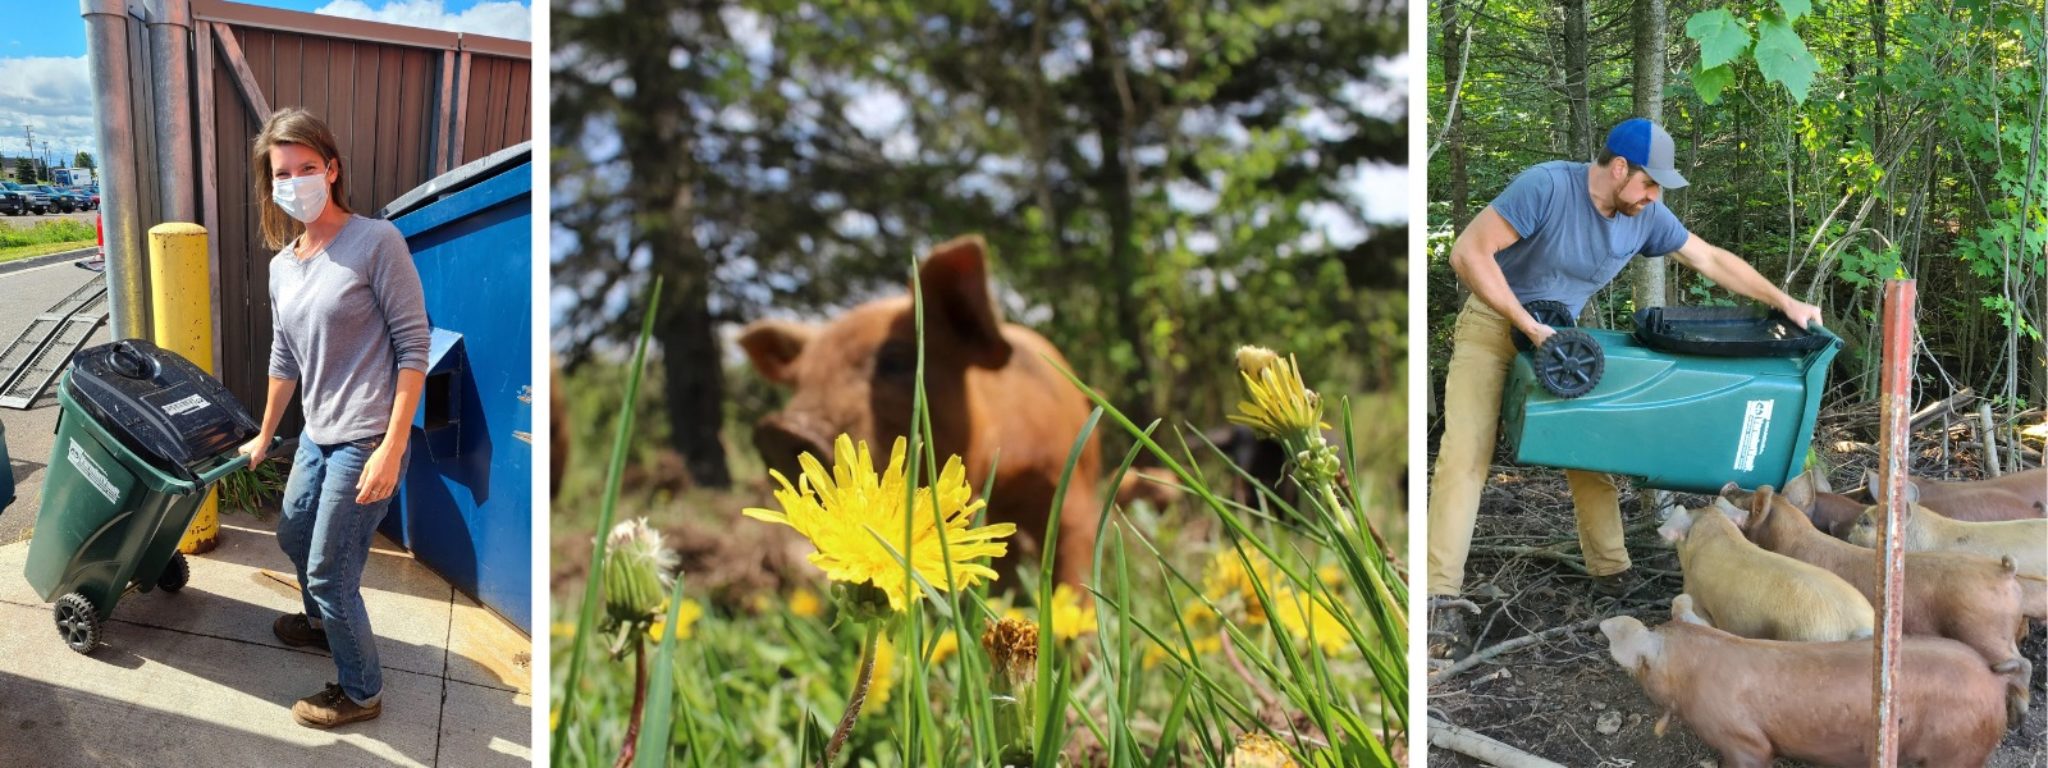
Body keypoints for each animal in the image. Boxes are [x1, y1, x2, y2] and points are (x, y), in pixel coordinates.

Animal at [1728, 483, 2031, 724]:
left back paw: (2018, 717)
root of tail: (2004, 572)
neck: (1794, 538)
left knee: (2022, 664)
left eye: (1747, 503)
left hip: (1982, 630)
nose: (1730, 485)